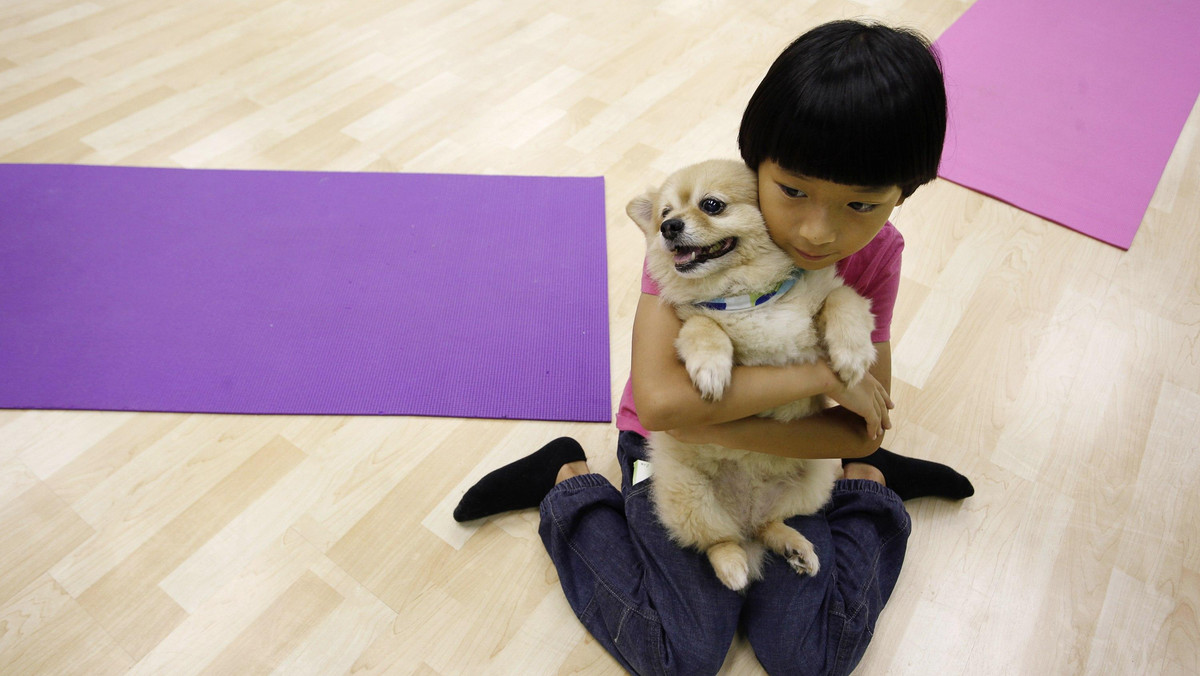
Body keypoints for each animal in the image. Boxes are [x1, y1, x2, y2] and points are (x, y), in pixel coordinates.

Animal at [628, 158, 873, 593]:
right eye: (665, 213)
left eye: (711, 205)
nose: (668, 228)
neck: (747, 299)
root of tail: (745, 511)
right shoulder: (692, 321)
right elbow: (704, 327)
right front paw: (711, 369)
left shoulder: (826, 301)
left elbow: (843, 299)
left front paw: (852, 353)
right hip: (689, 494)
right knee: (719, 539)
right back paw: (733, 567)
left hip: (814, 476)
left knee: (768, 523)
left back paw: (794, 547)